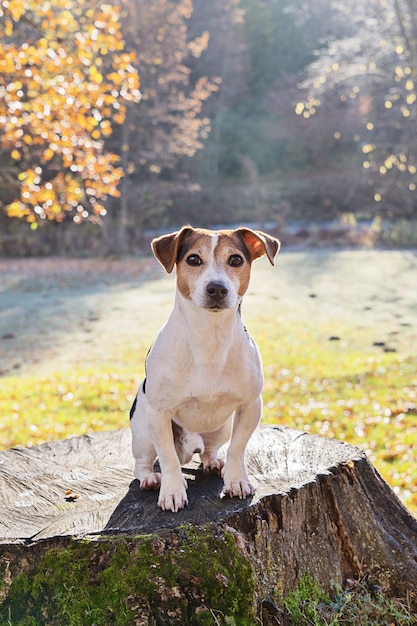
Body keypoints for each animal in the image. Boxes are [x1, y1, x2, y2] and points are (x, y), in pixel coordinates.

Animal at [130, 227, 280, 510]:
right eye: (193, 259)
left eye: (235, 260)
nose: (217, 288)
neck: (210, 336)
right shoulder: (158, 414)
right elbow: (167, 459)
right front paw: (172, 491)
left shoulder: (250, 406)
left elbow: (237, 449)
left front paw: (236, 481)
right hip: (142, 430)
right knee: (144, 462)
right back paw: (151, 479)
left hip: (221, 427)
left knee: (211, 450)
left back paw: (213, 462)